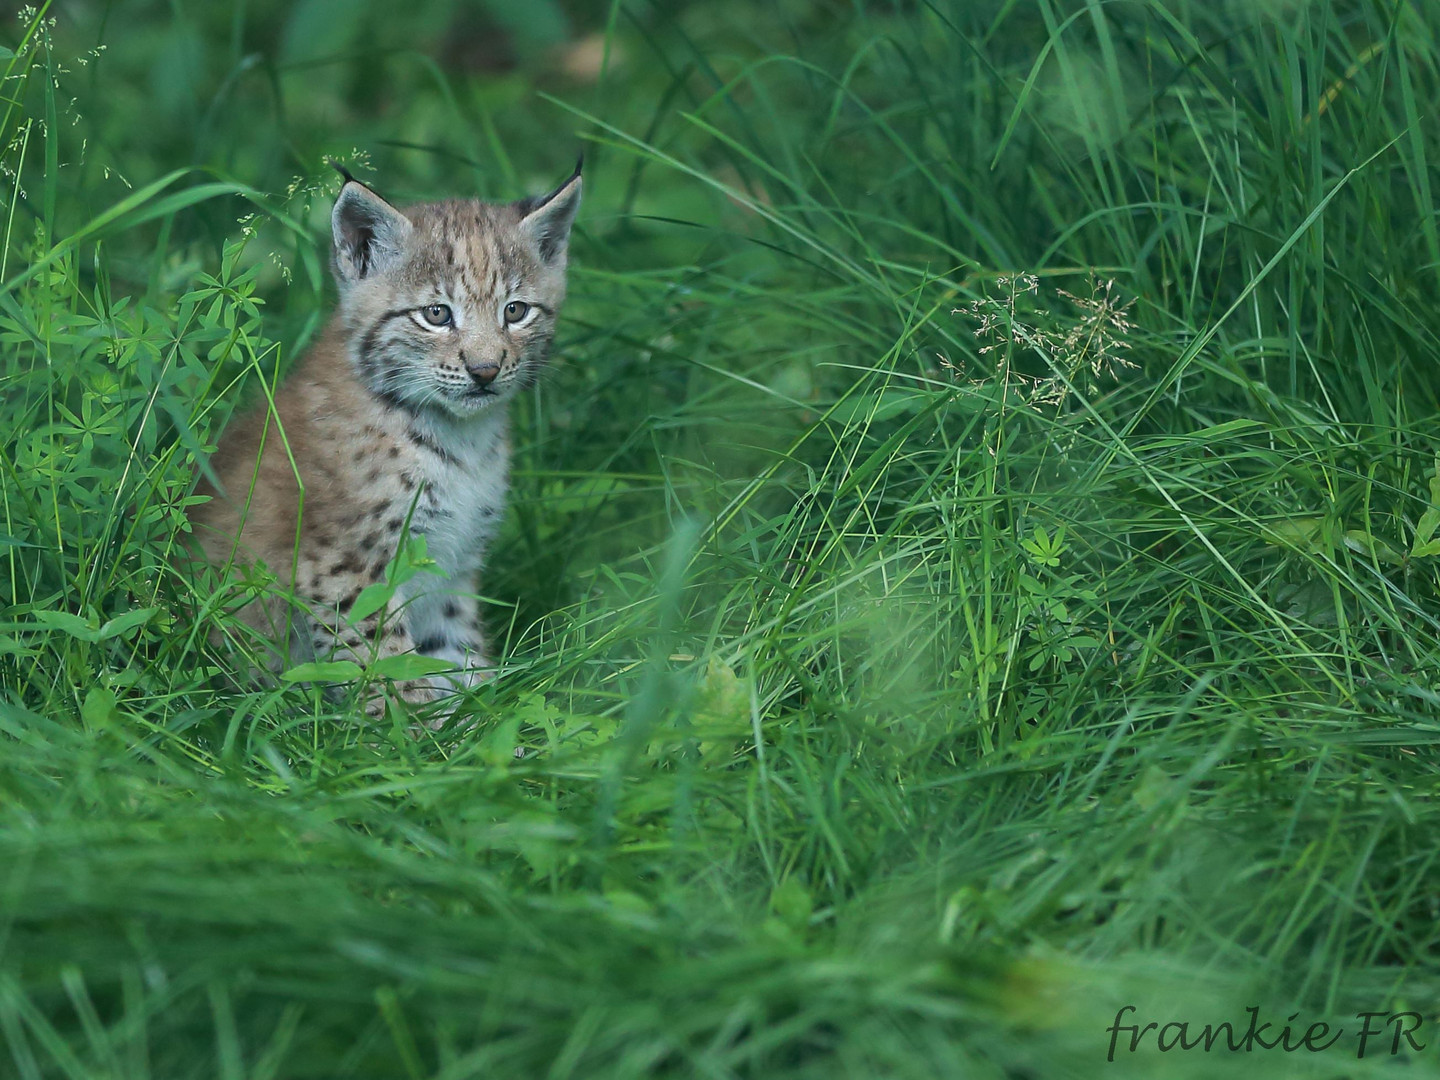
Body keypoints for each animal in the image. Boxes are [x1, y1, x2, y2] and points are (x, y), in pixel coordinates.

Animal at [194, 164, 581, 714]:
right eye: (437, 314)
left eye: (516, 311)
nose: (485, 371)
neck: (461, 438)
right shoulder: (344, 567)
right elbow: (388, 666)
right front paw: (417, 731)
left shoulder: (450, 566)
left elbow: (457, 654)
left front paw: (481, 721)